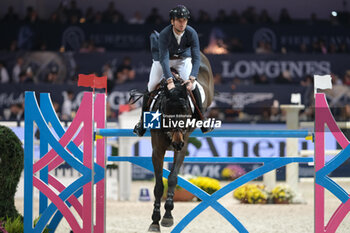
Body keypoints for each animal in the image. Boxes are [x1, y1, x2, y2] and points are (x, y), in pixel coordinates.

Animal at [147, 52, 213, 232]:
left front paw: (168, 217)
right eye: (166, 111)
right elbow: (158, 186)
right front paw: (155, 221)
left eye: (185, 112)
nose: (176, 143)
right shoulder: (157, 150)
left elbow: (172, 179)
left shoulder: (182, 149)